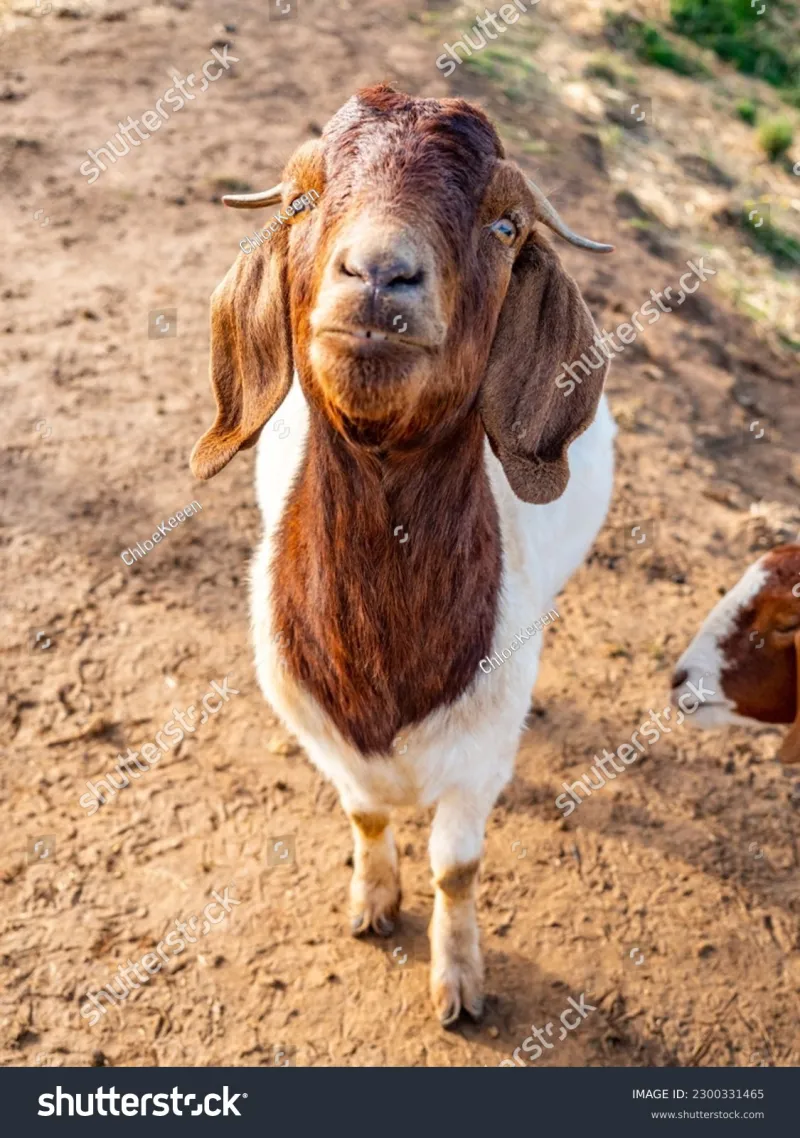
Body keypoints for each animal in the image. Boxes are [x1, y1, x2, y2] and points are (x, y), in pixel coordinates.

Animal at [191, 85, 616, 1025]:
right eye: (301, 201)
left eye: (506, 226)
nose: (381, 274)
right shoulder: (322, 738)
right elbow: (368, 819)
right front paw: (372, 902)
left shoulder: (478, 763)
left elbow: (457, 869)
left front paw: (458, 982)